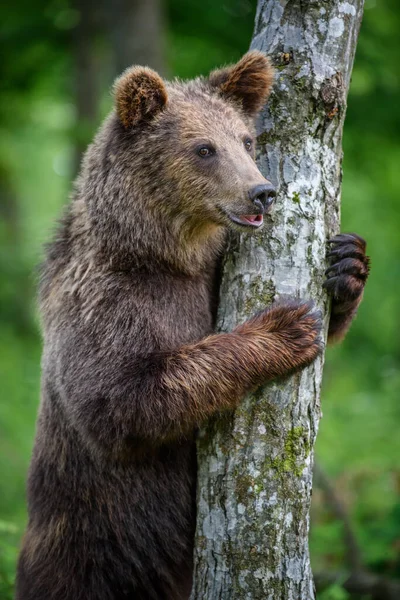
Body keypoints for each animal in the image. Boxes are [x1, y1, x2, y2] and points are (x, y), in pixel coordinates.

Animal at [17, 52, 370, 600]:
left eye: (245, 140)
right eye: (204, 148)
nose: (262, 192)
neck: (165, 251)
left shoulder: (209, 277)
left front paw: (347, 263)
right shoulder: (104, 301)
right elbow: (122, 397)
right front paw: (286, 326)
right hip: (86, 549)